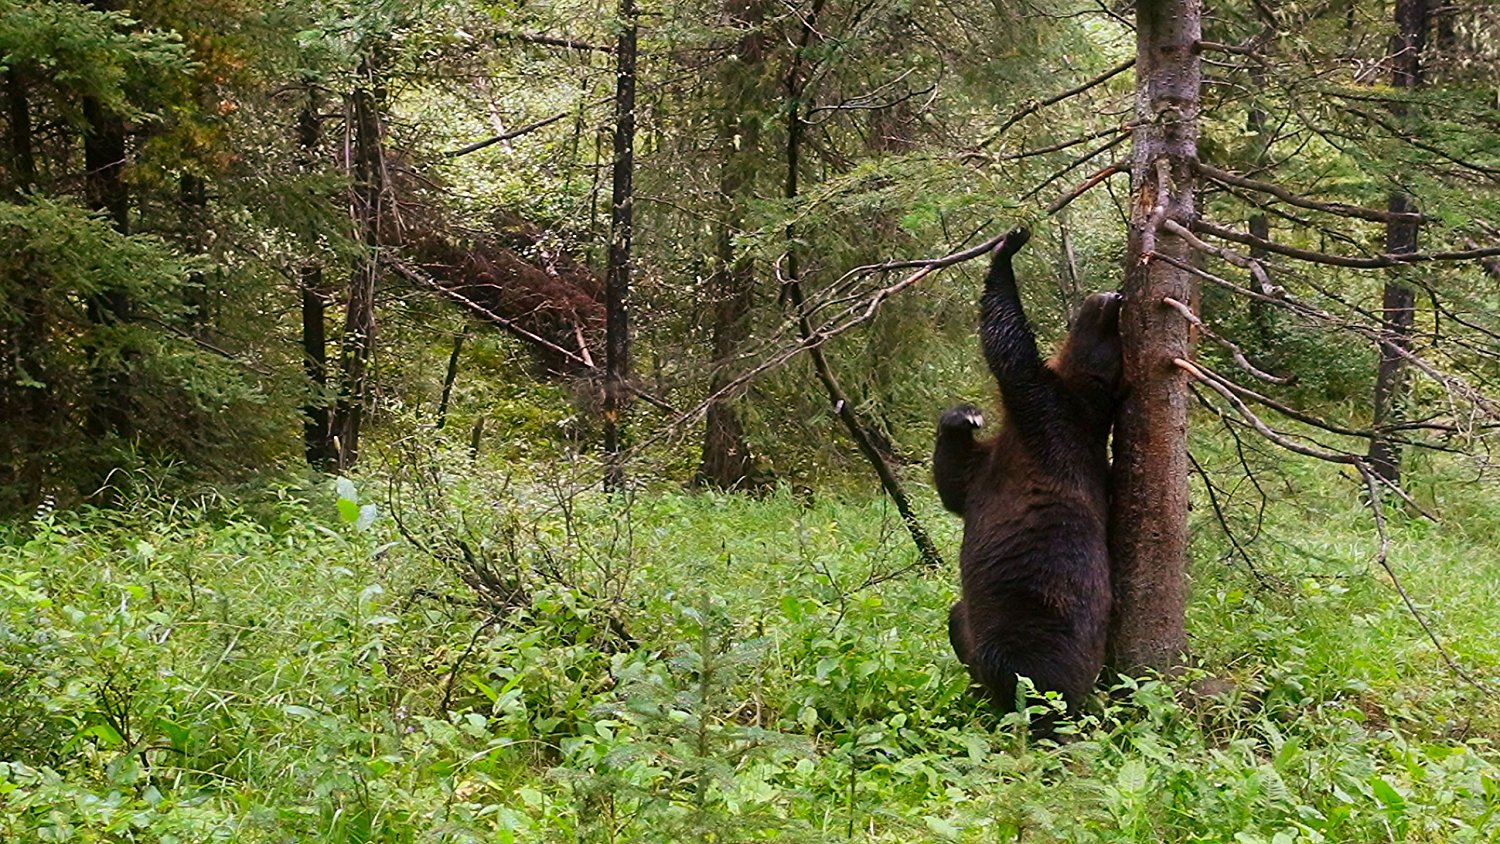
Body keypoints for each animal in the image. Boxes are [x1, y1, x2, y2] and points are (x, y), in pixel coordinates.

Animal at [930, 226, 1122, 734]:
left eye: (1115, 332)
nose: (1115, 295)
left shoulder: (1045, 421)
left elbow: (1008, 348)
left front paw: (1009, 244)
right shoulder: (1001, 456)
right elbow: (955, 483)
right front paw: (963, 416)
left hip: (1036, 622)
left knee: (1024, 673)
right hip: (980, 623)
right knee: (958, 619)